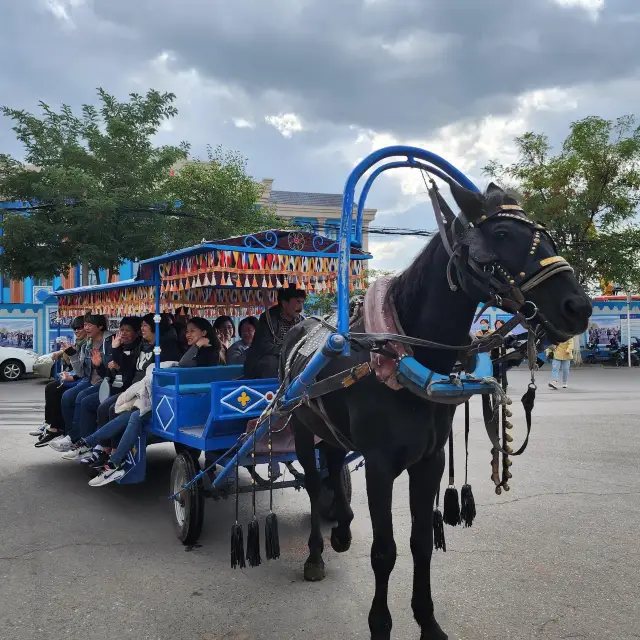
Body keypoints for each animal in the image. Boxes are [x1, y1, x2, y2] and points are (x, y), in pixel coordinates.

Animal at [282, 181, 592, 640]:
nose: (579, 307)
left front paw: (427, 621)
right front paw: (380, 624)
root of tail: (305, 324)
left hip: (332, 427)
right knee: (314, 482)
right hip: (301, 427)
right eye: (501, 235)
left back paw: (341, 530)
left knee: (334, 462)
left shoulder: (429, 460)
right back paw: (317, 555)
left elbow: (421, 542)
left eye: (547, 236)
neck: (404, 353)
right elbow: (385, 550)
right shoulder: (379, 466)